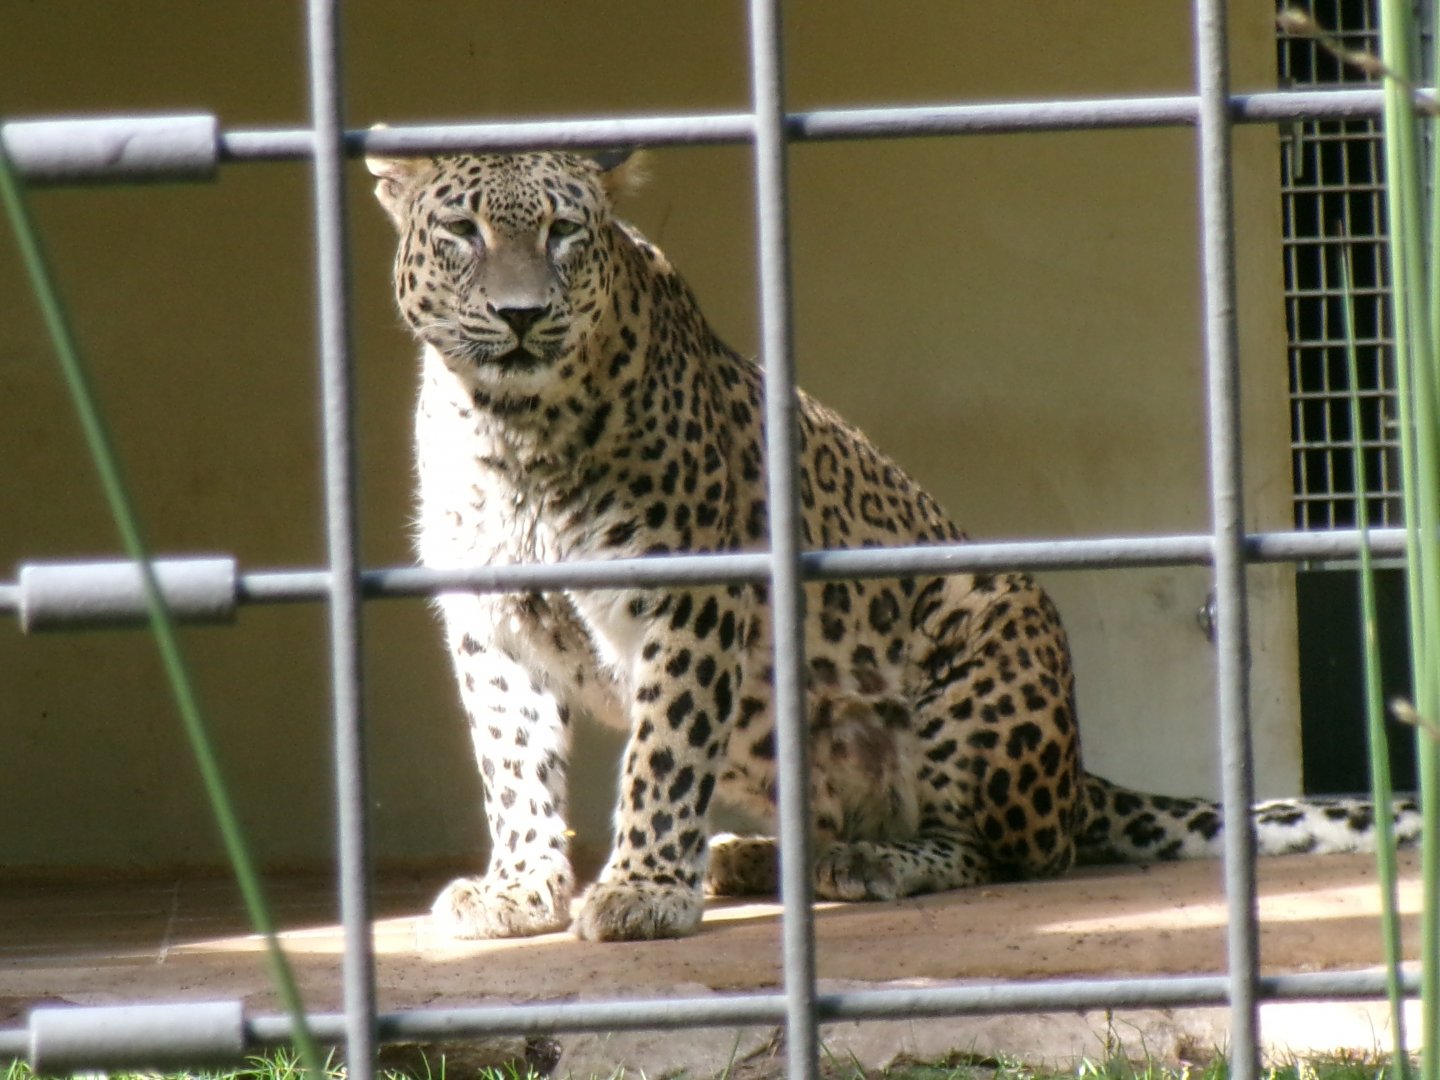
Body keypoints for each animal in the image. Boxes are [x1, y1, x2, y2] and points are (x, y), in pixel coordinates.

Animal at [366, 146, 1420, 944]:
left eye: (563, 233)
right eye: (463, 234)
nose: (521, 315)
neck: (509, 427)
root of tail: (1076, 774)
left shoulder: (692, 595)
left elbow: (663, 751)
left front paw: (640, 891)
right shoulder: (491, 619)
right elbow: (512, 763)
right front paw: (520, 888)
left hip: (987, 630)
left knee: (1010, 852)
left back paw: (866, 860)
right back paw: (755, 856)